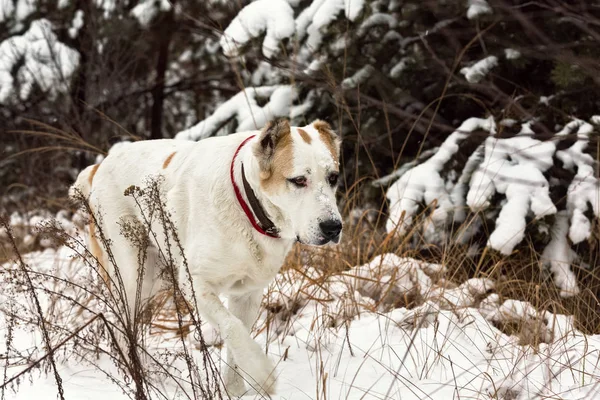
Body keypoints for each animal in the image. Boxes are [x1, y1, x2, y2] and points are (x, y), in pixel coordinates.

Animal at [70, 118, 342, 394]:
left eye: (333, 178)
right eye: (298, 180)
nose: (333, 227)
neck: (247, 204)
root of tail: (99, 166)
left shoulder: (248, 295)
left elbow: (237, 340)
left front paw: (235, 390)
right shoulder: (194, 284)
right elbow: (232, 327)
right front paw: (262, 373)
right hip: (135, 274)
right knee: (123, 324)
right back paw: (140, 374)